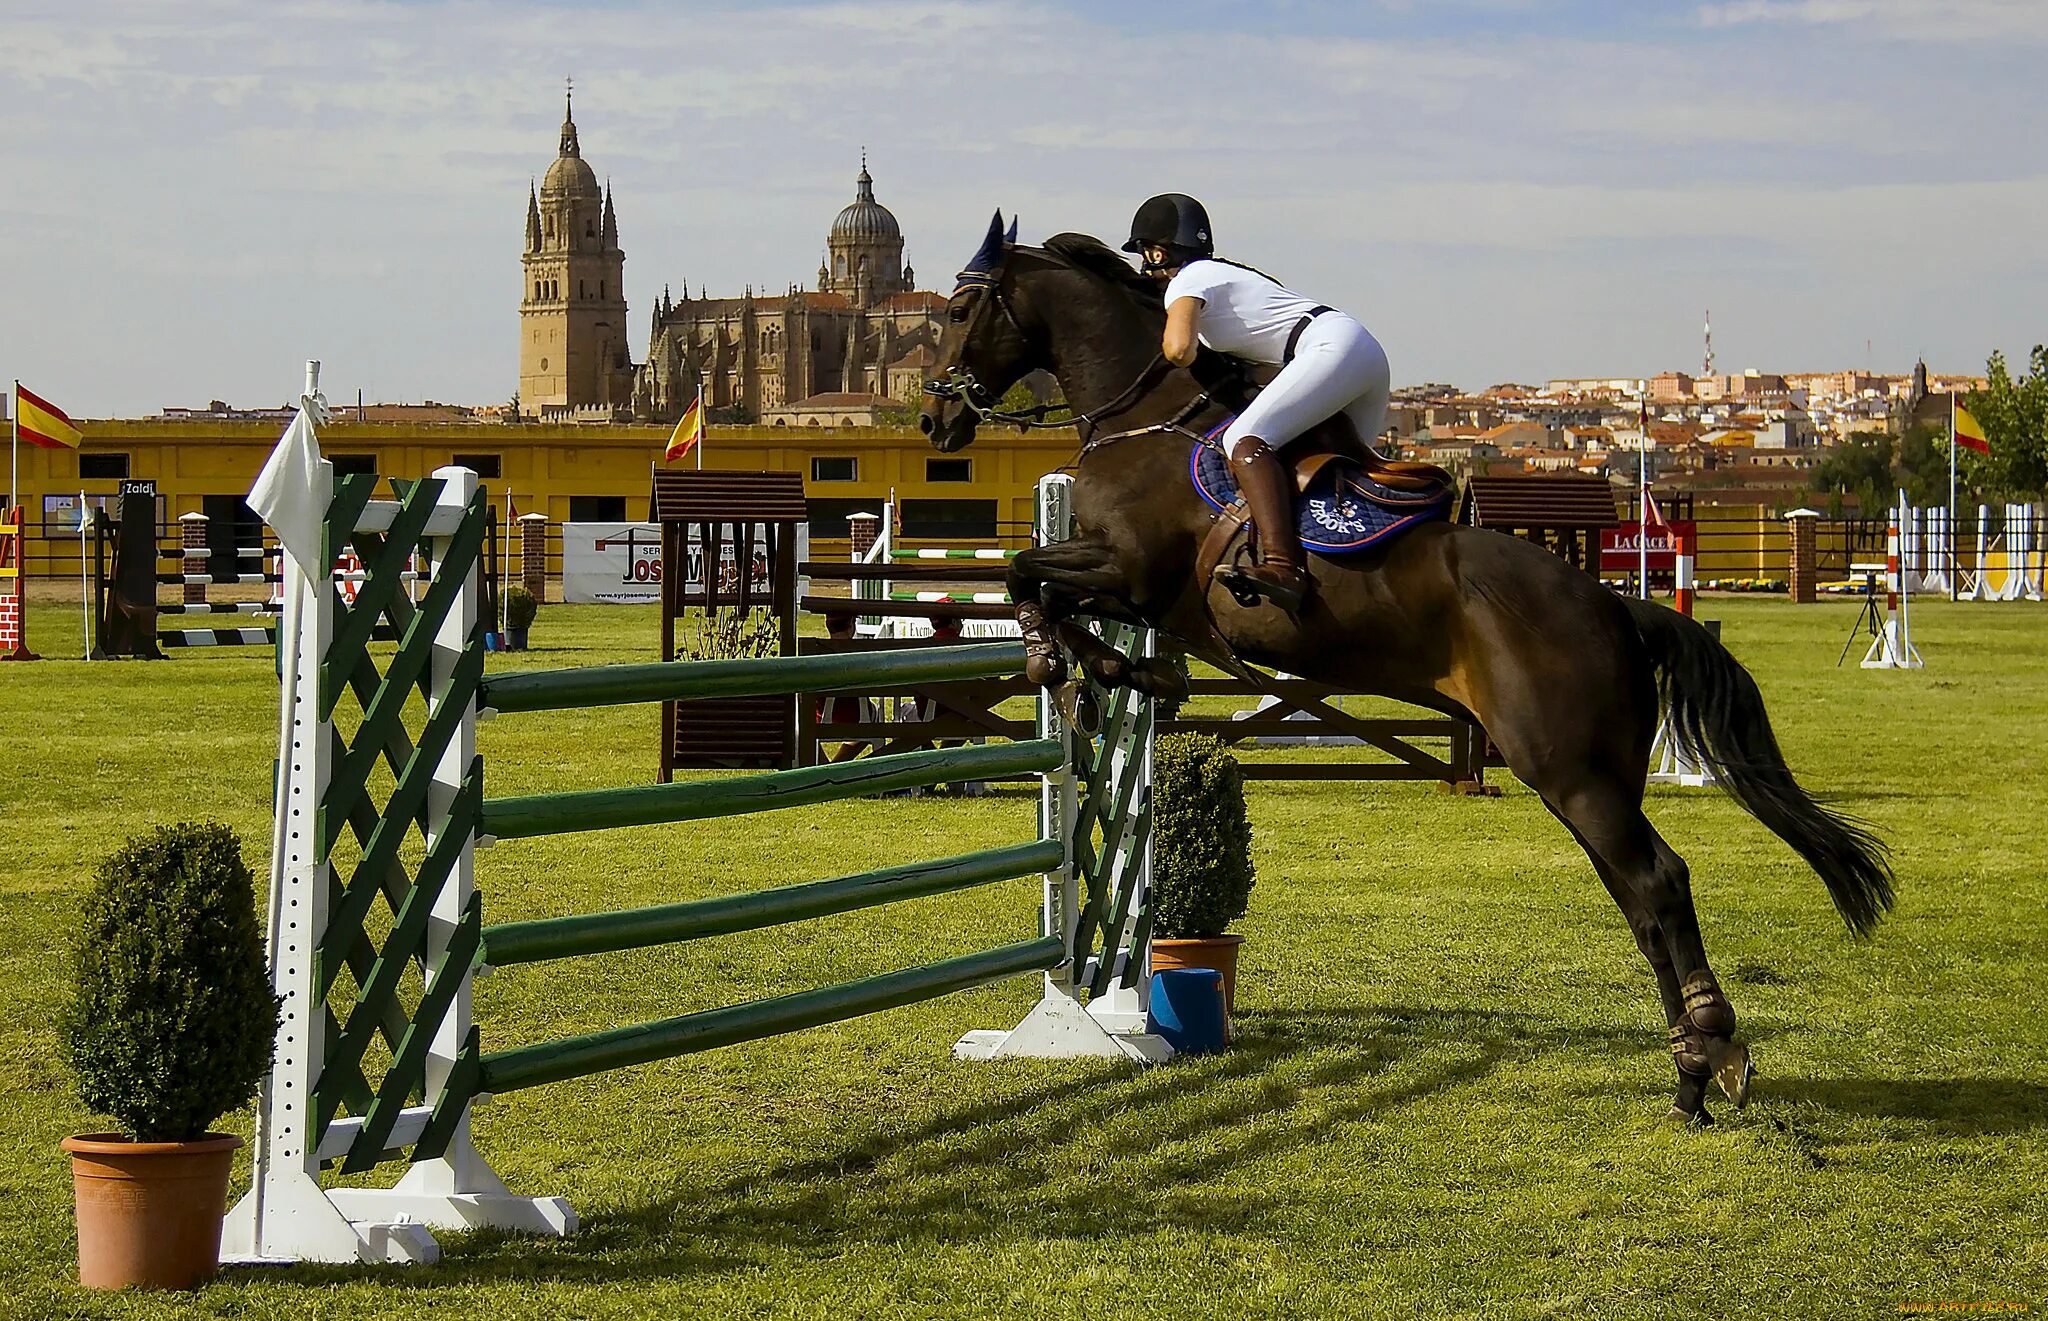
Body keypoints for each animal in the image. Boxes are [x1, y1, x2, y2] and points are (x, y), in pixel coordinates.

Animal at [917, 214, 1884, 1122]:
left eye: (959, 312)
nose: (935, 420)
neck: (1140, 417)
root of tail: (1617, 607)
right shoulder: (1135, 586)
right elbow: (1041, 586)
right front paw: (1117, 671)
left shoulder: (1132, 570)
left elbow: (1025, 574)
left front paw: (1078, 663)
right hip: (1593, 774)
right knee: (1641, 896)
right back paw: (1694, 1068)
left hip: (1567, 768)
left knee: (1656, 880)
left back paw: (1709, 1048)